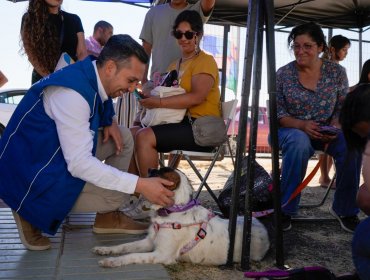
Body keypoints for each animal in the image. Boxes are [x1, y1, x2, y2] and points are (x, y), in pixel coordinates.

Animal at [92, 167, 268, 266]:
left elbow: (131, 255)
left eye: (155, 172)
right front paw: (105, 250)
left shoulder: (162, 254)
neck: (171, 213)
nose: (148, 168)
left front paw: (112, 261)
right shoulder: (149, 242)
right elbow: (124, 246)